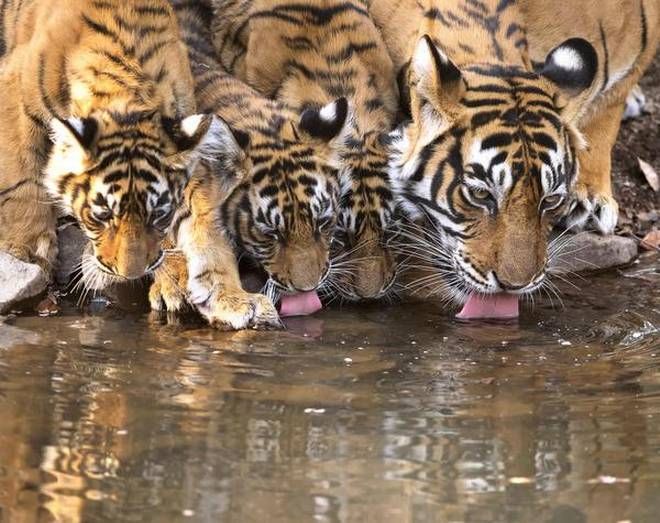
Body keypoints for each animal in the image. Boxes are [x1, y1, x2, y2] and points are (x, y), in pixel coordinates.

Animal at [0, 0, 225, 300]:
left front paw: (174, 277)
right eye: (102, 216)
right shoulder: (15, 90)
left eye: (158, 215)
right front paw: (27, 248)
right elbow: (21, 177)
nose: (130, 274)